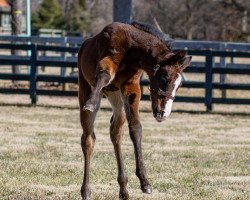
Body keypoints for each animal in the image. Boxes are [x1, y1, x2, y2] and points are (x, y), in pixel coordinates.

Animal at [78, 21, 191, 199]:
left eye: (179, 85)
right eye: (164, 78)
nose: (163, 113)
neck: (132, 49)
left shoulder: (131, 87)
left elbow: (136, 129)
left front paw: (145, 182)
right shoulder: (107, 61)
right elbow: (103, 75)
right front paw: (91, 101)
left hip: (117, 98)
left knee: (116, 133)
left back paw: (124, 189)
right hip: (85, 87)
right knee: (88, 139)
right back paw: (86, 191)